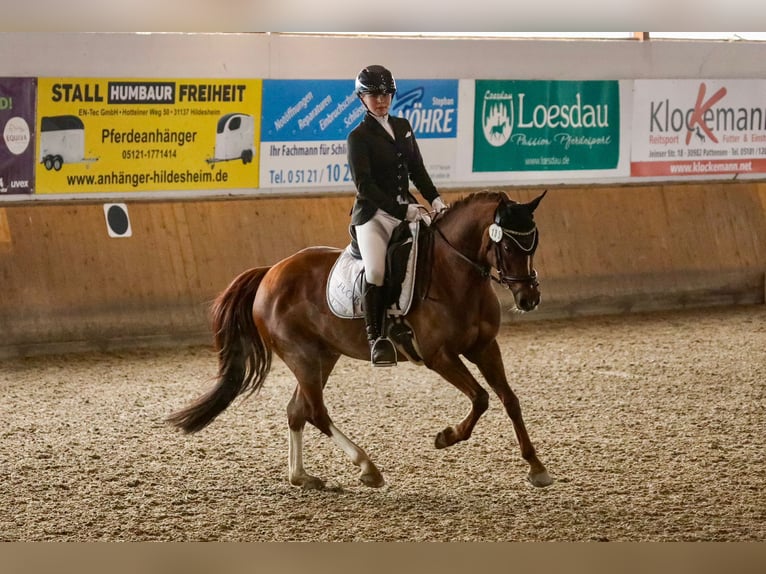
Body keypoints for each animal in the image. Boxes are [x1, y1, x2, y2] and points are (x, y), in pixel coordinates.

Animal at [166, 191, 552, 492]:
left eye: (533, 243)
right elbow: (481, 398)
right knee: (316, 412)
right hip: (303, 356)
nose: (529, 298)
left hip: (322, 356)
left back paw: (302, 477)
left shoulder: (484, 347)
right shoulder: (439, 356)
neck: (454, 273)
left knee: (297, 411)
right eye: (507, 244)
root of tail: (270, 272)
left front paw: (536, 467)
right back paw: (368, 467)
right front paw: (446, 437)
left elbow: (509, 400)